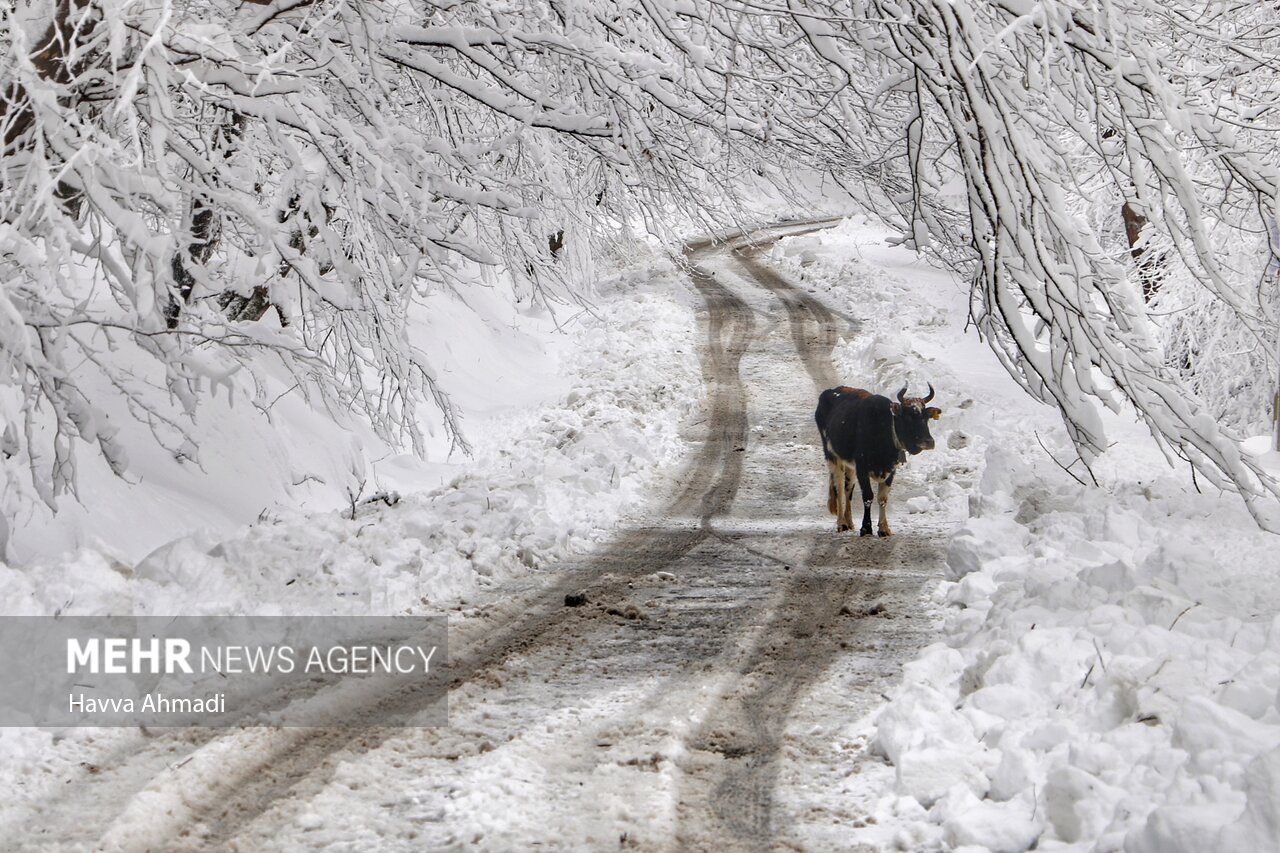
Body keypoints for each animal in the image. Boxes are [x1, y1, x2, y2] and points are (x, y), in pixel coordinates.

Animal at [819, 384, 942, 532]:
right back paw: (841, 523)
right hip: (832, 456)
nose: (928, 441)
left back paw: (849, 522)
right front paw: (866, 528)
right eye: (908, 418)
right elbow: (868, 496)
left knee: (848, 489)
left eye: (926, 418)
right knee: (839, 489)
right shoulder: (862, 468)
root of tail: (834, 390)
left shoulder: (891, 469)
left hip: (849, 465)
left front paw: (884, 528)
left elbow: (882, 498)